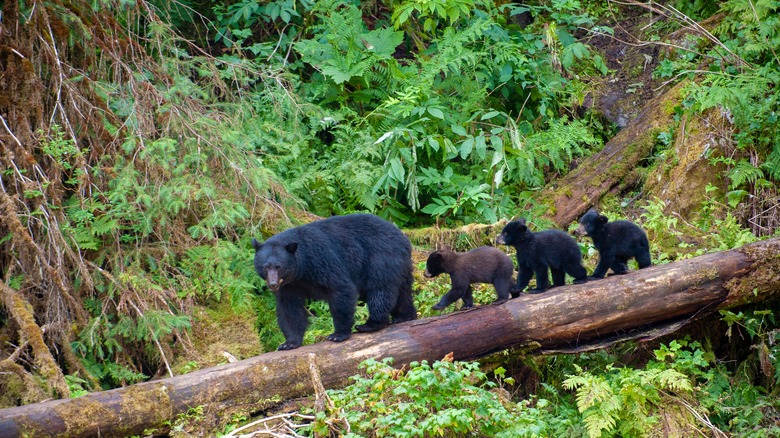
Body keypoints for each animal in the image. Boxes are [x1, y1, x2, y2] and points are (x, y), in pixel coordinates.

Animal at [253, 214, 418, 350]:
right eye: (265, 267)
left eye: (279, 267)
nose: (273, 284)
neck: (302, 269)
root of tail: (403, 239)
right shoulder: (290, 285)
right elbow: (289, 308)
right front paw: (289, 343)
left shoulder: (322, 260)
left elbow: (341, 289)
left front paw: (338, 334)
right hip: (401, 266)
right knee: (403, 292)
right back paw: (404, 316)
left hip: (380, 258)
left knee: (380, 290)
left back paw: (370, 324)